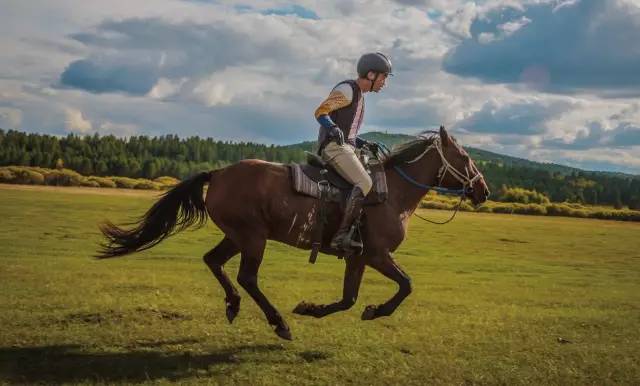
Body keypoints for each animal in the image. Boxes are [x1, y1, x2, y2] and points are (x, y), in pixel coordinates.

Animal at [97, 125, 490, 340]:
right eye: (465, 157)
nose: (483, 190)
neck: (392, 193)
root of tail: (218, 173)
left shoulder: (359, 257)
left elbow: (348, 299)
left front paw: (311, 308)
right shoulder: (378, 255)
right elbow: (406, 285)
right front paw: (376, 310)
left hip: (237, 236)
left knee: (213, 261)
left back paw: (233, 305)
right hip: (253, 238)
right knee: (247, 277)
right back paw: (278, 323)